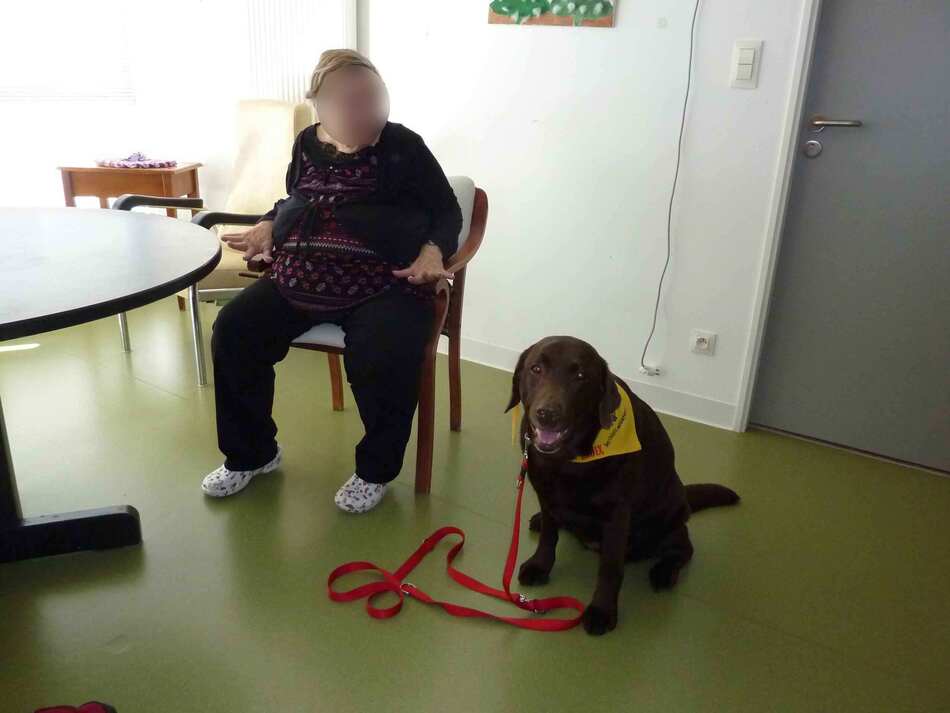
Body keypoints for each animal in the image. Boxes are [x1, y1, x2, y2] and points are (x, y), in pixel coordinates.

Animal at [510, 338, 740, 636]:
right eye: (536, 369)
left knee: (683, 546)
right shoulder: (545, 493)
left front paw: (602, 611)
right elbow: (549, 537)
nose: (547, 414)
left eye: (580, 376)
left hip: (671, 511)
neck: (570, 460)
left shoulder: (617, 514)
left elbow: (610, 568)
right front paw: (540, 566)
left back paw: (664, 572)